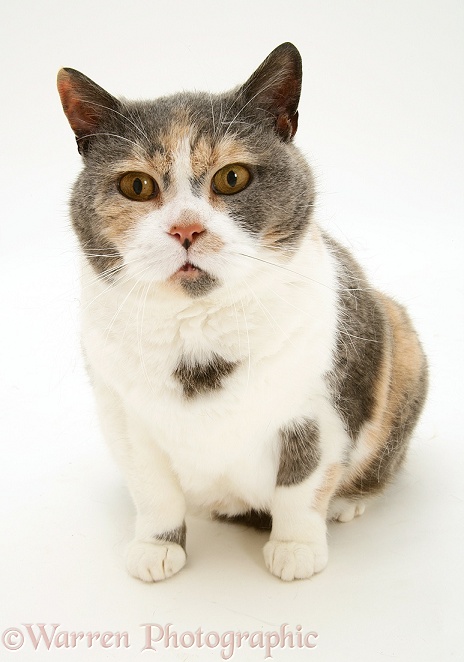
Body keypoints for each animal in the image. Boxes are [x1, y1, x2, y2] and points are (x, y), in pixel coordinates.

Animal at [57, 42, 428, 580]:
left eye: (232, 177)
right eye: (137, 186)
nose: (187, 229)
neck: (198, 332)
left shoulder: (317, 411)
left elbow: (302, 485)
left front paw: (295, 548)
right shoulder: (124, 418)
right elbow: (153, 492)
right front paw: (156, 547)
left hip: (402, 338)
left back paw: (346, 503)